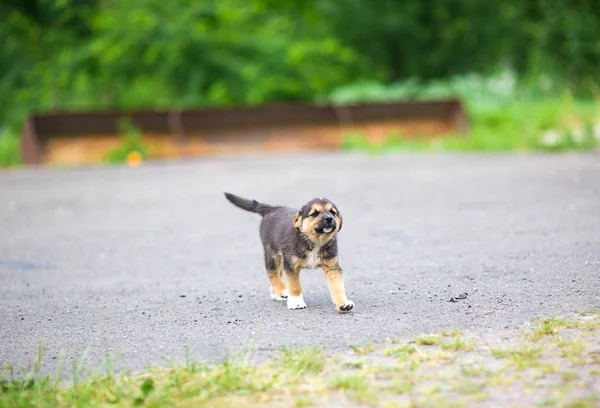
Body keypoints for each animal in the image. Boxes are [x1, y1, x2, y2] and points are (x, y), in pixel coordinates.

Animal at [225, 192, 356, 312]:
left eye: (333, 212)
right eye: (314, 213)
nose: (329, 219)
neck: (315, 241)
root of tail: (273, 209)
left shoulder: (332, 267)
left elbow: (338, 287)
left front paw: (343, 303)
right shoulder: (291, 265)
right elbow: (294, 286)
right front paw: (296, 302)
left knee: (278, 274)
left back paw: (276, 293)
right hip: (272, 253)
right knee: (272, 273)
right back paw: (282, 290)